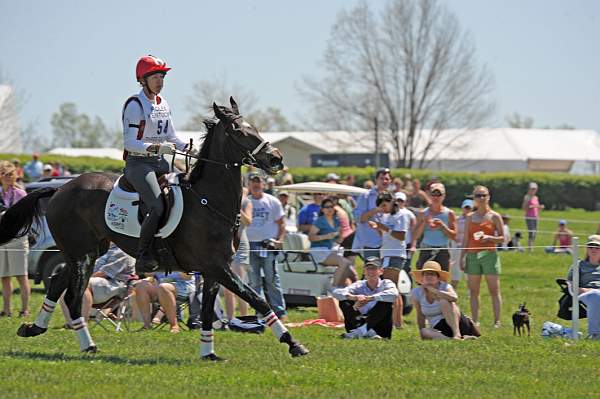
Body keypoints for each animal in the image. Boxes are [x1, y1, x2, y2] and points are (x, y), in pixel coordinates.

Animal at [0, 98, 310, 360]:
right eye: (237, 130)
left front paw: (208, 353)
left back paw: (35, 328)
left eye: (254, 127)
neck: (208, 200)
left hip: (85, 252)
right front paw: (293, 343)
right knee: (73, 297)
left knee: (56, 283)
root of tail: (59, 189)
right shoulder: (218, 268)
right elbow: (259, 300)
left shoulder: (214, 271)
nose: (276, 158)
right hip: (82, 255)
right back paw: (86, 344)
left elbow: (209, 312)